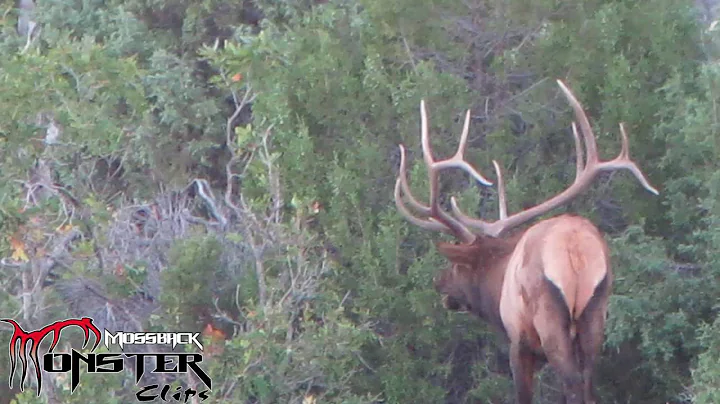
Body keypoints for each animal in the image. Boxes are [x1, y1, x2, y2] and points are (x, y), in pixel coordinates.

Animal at [393, 80, 659, 404]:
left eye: (456, 266)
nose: (439, 282)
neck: (496, 285)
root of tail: (575, 251)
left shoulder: (518, 341)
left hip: (549, 318)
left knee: (573, 383)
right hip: (596, 312)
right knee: (587, 384)